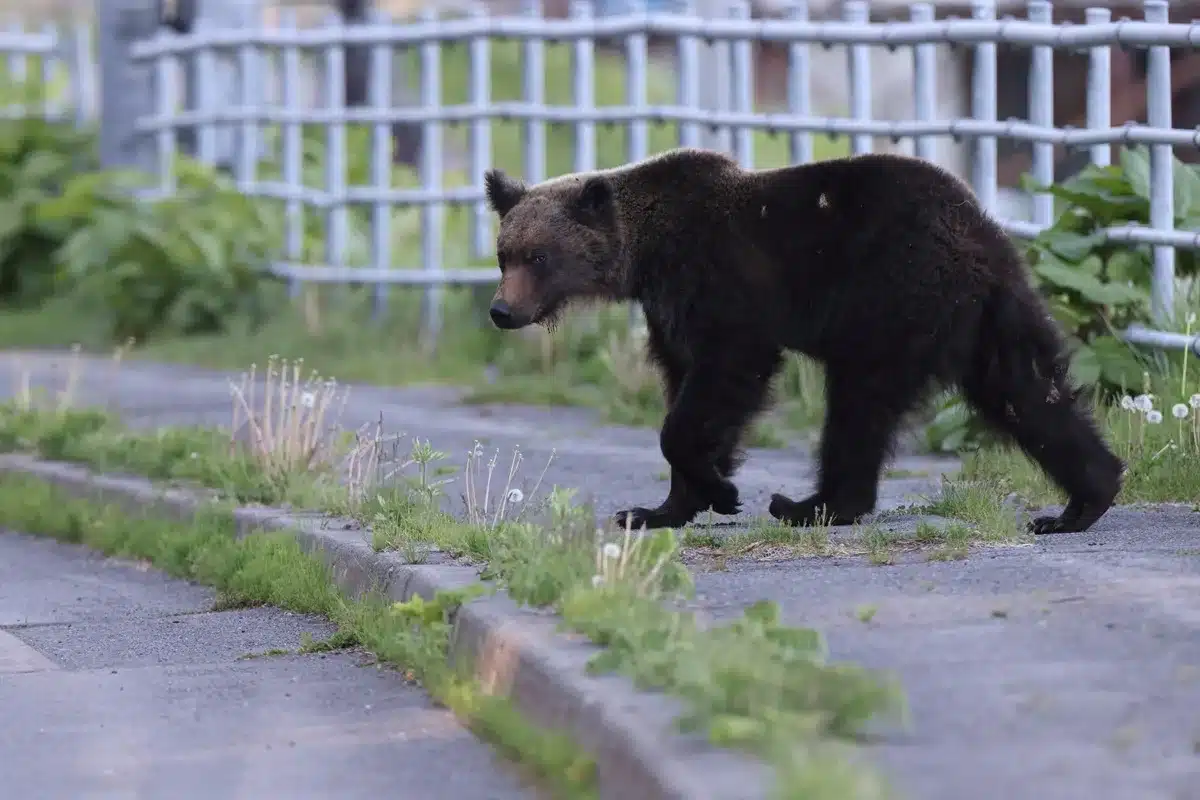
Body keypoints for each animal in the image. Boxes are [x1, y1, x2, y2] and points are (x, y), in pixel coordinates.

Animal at [481, 147, 1124, 536]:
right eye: (504, 254)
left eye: (539, 257)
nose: (501, 310)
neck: (647, 254)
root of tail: (979, 230)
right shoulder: (667, 313)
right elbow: (686, 383)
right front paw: (656, 508)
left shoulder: (721, 285)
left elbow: (717, 382)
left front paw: (722, 490)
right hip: (993, 312)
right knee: (1028, 390)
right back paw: (1082, 501)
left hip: (888, 297)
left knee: (859, 405)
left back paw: (812, 505)